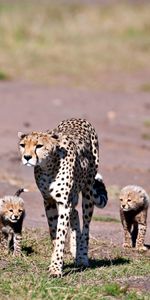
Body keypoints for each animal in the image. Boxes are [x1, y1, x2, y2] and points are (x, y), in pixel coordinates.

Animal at [18, 118, 108, 278]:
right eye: (23, 145)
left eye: (39, 145)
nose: (27, 157)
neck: (48, 167)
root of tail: (79, 118)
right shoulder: (48, 201)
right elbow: (54, 232)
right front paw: (56, 261)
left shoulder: (64, 203)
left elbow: (60, 235)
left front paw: (56, 268)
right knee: (75, 213)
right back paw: (75, 250)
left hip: (87, 192)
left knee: (86, 225)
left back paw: (82, 257)